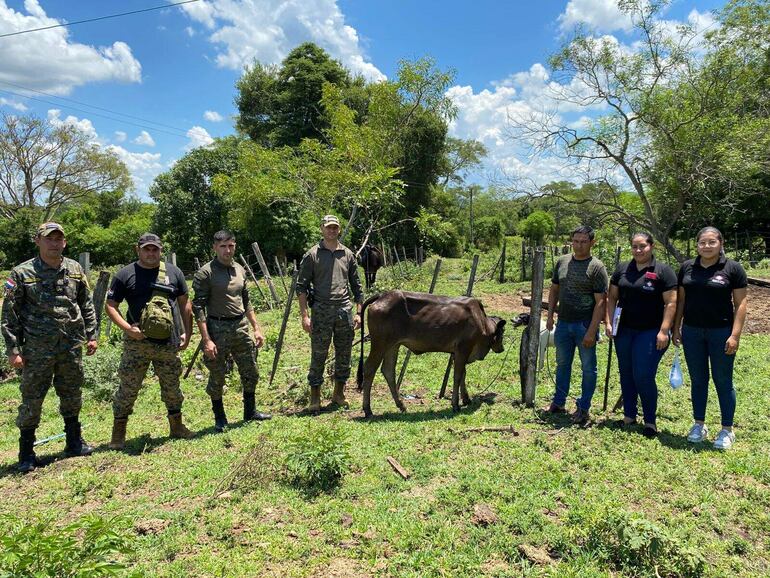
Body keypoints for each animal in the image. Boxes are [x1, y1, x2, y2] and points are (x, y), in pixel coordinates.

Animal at [354, 290, 504, 416]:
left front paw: (466, 399)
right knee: (369, 369)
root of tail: (382, 295)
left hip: (393, 345)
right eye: (502, 332)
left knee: (388, 371)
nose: (502, 349)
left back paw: (401, 405)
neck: (481, 321)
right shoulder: (463, 349)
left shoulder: (456, 353)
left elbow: (463, 375)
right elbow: (457, 376)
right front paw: (455, 405)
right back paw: (368, 410)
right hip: (380, 344)